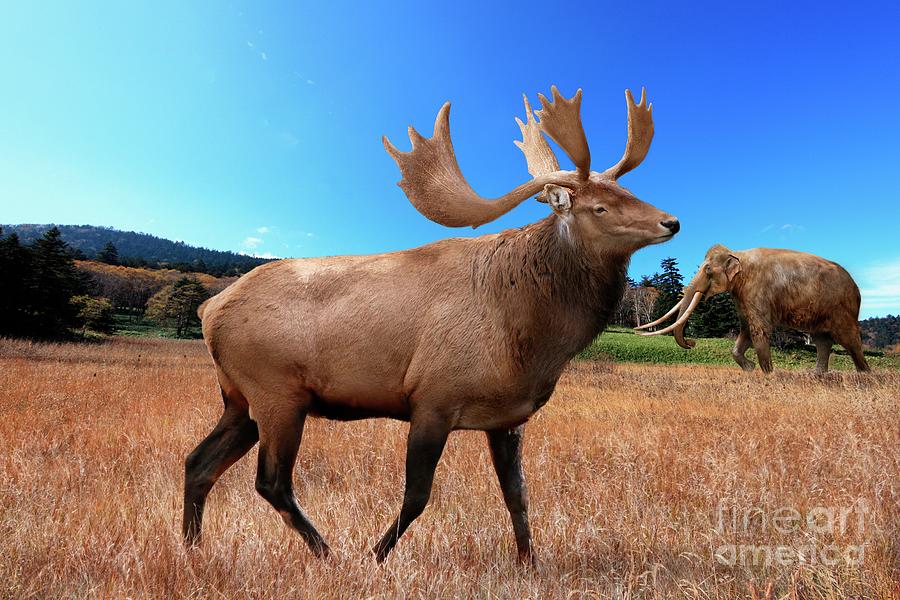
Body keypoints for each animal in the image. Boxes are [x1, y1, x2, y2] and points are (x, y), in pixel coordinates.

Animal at [181, 85, 676, 564]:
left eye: (630, 192)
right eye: (599, 208)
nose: (671, 221)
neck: (532, 343)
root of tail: (210, 309)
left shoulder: (507, 418)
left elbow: (517, 496)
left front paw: (529, 564)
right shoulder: (432, 398)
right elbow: (417, 496)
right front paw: (375, 557)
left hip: (239, 398)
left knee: (197, 462)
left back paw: (192, 548)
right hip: (277, 390)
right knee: (270, 481)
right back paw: (327, 554)